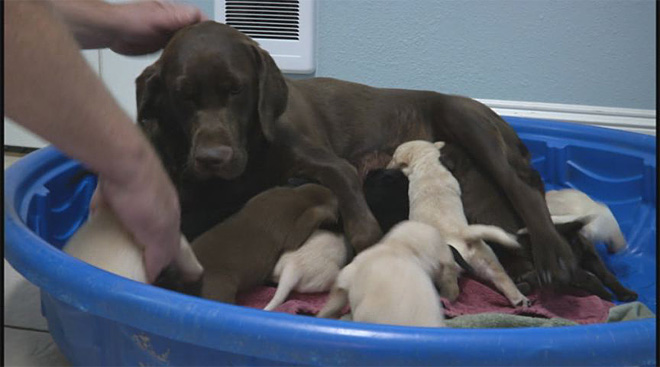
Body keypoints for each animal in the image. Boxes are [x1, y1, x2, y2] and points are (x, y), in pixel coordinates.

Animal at [386, 141, 532, 308]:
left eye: (393, 157)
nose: (387, 166)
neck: (429, 163)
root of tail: (464, 236)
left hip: (446, 270)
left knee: (452, 290)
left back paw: (444, 300)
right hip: (488, 261)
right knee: (504, 280)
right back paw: (520, 299)